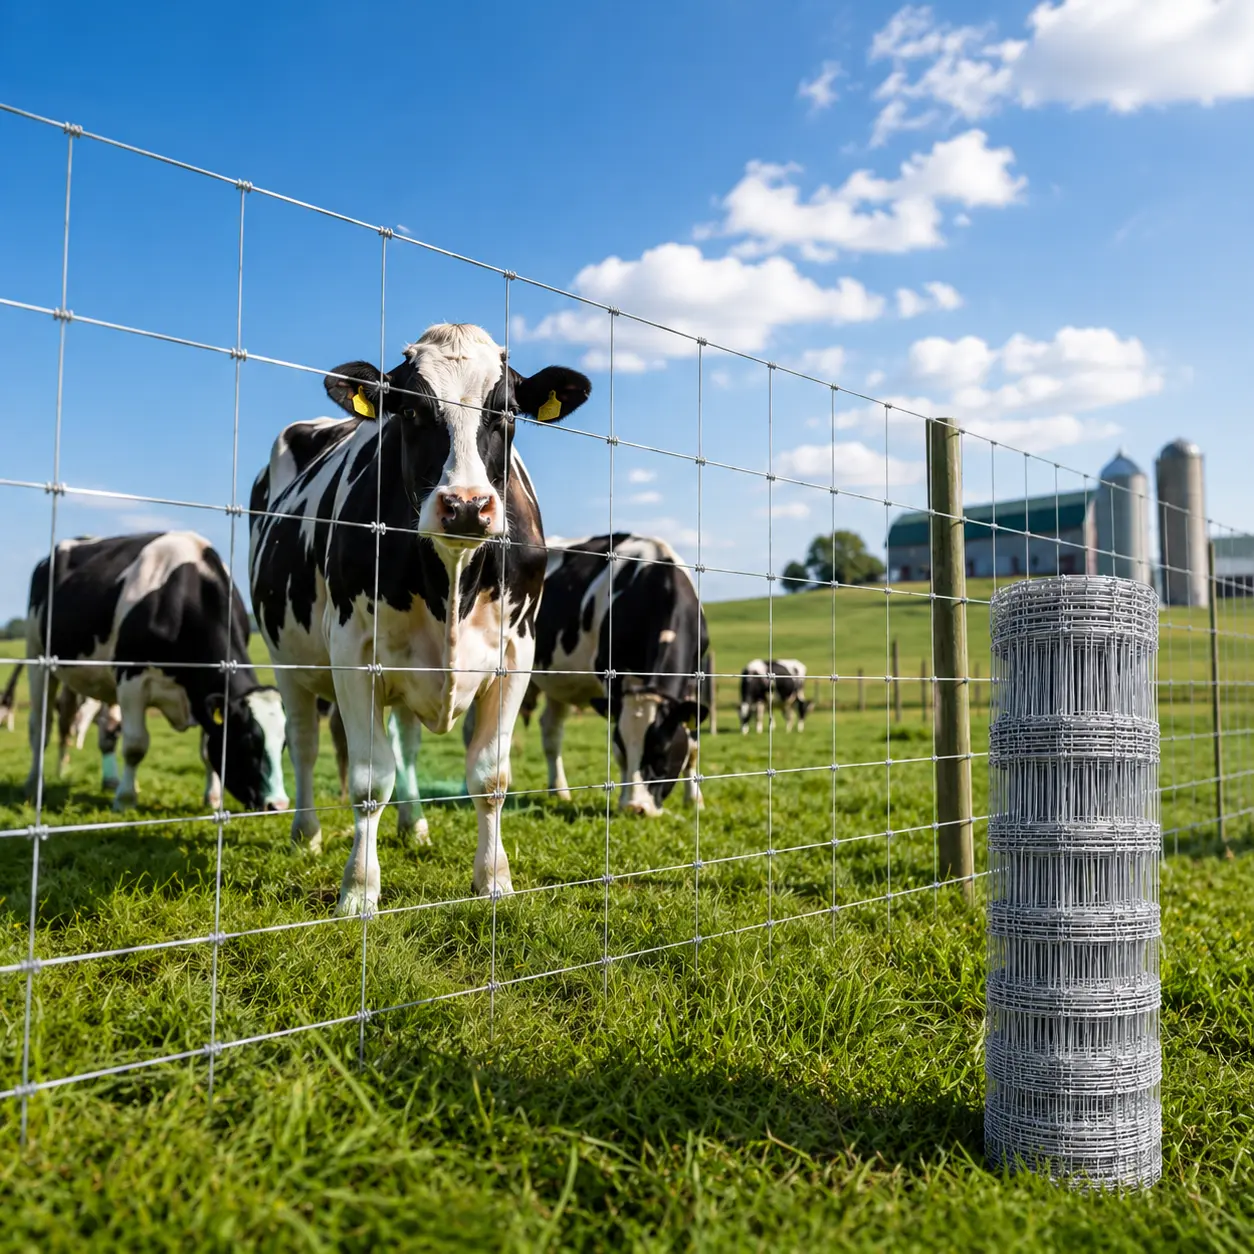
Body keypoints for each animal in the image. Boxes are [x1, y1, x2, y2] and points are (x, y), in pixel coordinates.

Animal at [22, 532, 289, 813]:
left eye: (284, 744)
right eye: (248, 742)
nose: (279, 804)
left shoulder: (203, 694)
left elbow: (207, 749)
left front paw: (213, 798)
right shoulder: (131, 678)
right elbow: (135, 745)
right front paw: (125, 800)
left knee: (107, 730)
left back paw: (110, 781)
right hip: (37, 657)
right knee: (40, 727)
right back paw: (34, 785)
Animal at [248, 322, 591, 915]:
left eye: (507, 413)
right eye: (409, 411)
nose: (466, 505)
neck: (450, 580)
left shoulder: (517, 652)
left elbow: (491, 776)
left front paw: (493, 879)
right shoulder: (353, 653)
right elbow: (368, 781)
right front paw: (359, 891)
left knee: (405, 744)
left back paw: (414, 824)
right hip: (287, 658)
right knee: (305, 742)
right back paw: (307, 834)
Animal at [527, 533, 709, 816]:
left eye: (661, 751)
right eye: (622, 745)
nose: (636, 809)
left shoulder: (695, 677)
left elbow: (692, 744)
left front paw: (694, 800)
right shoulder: (611, 674)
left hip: (556, 681)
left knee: (550, 730)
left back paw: (559, 792)